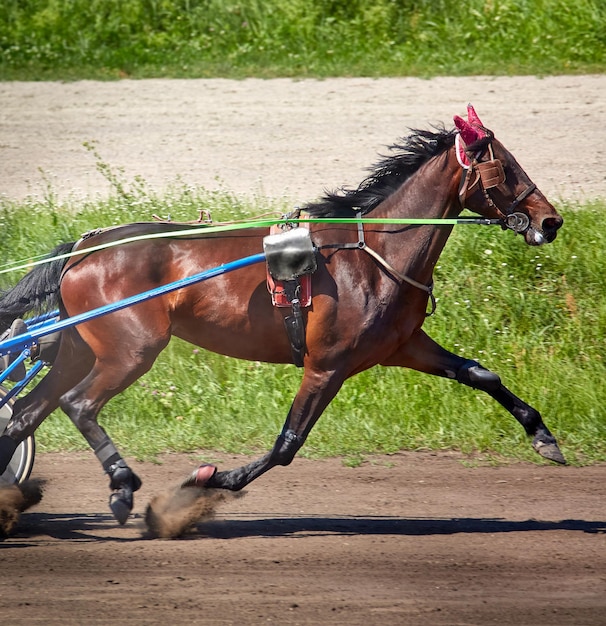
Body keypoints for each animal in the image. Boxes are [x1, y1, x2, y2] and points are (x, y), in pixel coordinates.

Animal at [0, 106, 568, 520]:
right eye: (506, 167)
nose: (551, 220)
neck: (372, 256)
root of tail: (83, 248)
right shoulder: (327, 364)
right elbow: (287, 444)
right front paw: (208, 482)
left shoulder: (404, 346)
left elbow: (481, 373)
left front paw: (544, 436)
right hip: (130, 350)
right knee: (78, 404)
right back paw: (121, 486)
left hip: (80, 347)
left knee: (26, 413)